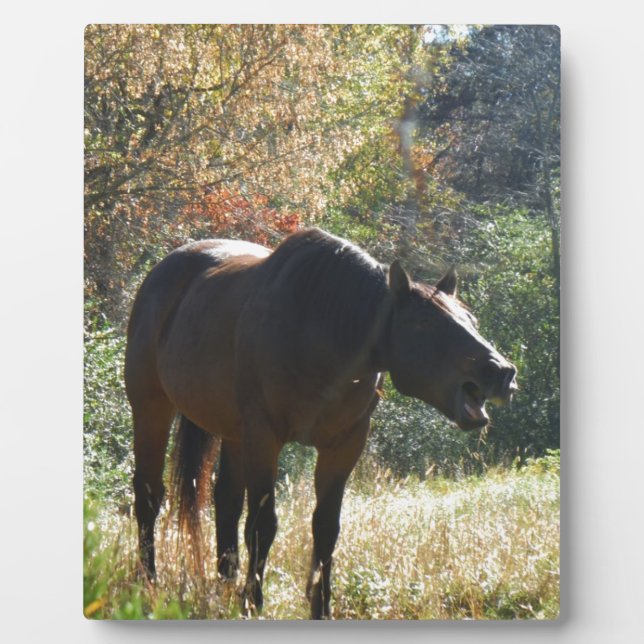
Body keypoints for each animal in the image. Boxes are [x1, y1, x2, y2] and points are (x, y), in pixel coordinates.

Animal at [124, 227, 517, 619]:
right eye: (425, 323)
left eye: (471, 321)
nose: (501, 372)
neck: (319, 330)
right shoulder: (264, 437)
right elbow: (263, 524)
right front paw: (253, 600)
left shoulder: (344, 444)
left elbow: (326, 528)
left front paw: (321, 606)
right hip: (151, 409)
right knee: (149, 495)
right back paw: (149, 582)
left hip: (233, 433)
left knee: (226, 501)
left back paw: (224, 584)